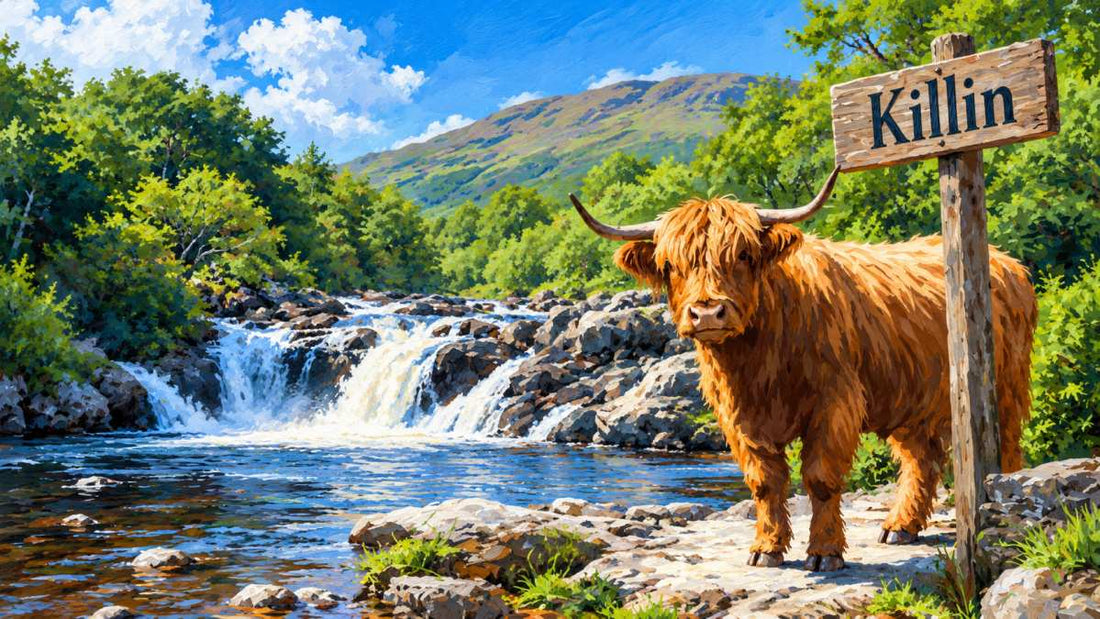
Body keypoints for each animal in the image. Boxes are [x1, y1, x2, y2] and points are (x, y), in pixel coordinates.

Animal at [569, 167, 1036, 571]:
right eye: (670, 266)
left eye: (743, 255)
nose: (707, 313)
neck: (756, 362)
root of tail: (1008, 262)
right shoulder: (739, 418)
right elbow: (765, 483)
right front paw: (766, 549)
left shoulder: (835, 403)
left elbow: (820, 478)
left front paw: (825, 552)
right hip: (910, 397)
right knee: (922, 458)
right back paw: (900, 527)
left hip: (1004, 386)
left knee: (1006, 450)